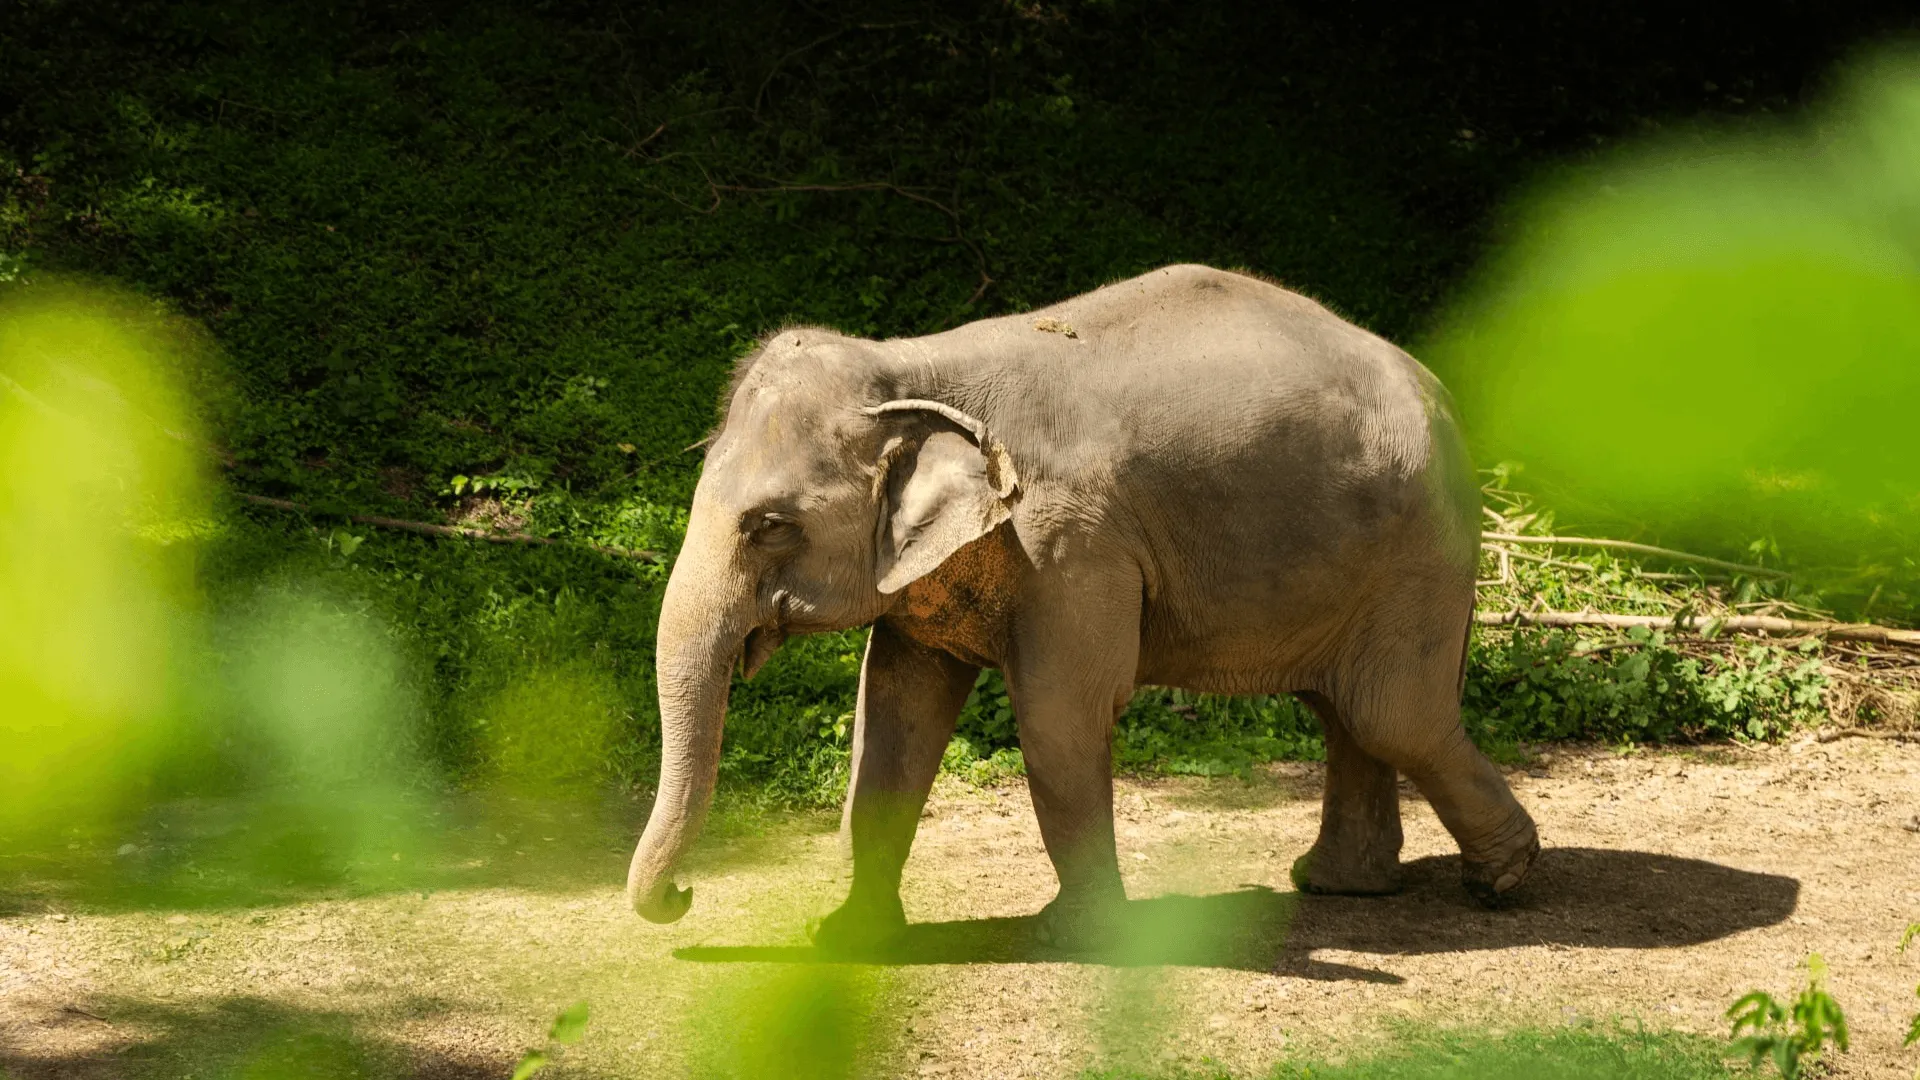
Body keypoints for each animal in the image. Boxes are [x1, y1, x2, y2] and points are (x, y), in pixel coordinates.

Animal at [626, 263, 1540, 951]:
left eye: (769, 526)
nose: (685, 897)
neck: (914, 366)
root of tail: (1443, 394)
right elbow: (891, 719)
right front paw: (843, 938)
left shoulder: (1070, 546)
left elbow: (1060, 714)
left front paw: (1072, 937)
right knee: (1345, 710)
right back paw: (1340, 887)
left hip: (1421, 553)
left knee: (1393, 713)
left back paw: (1501, 883)